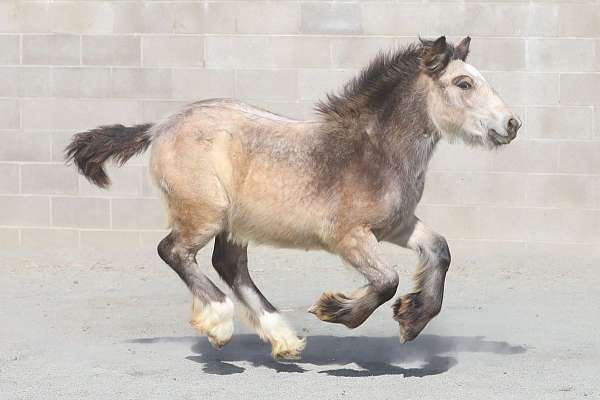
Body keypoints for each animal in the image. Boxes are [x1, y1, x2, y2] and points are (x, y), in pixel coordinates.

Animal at [65, 36, 520, 360]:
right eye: (464, 83)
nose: (512, 124)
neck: (373, 150)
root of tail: (160, 127)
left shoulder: (397, 225)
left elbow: (440, 250)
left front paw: (412, 320)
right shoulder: (349, 237)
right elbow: (386, 280)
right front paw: (336, 310)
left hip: (235, 224)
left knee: (229, 265)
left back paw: (283, 339)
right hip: (205, 214)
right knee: (174, 251)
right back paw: (219, 323)